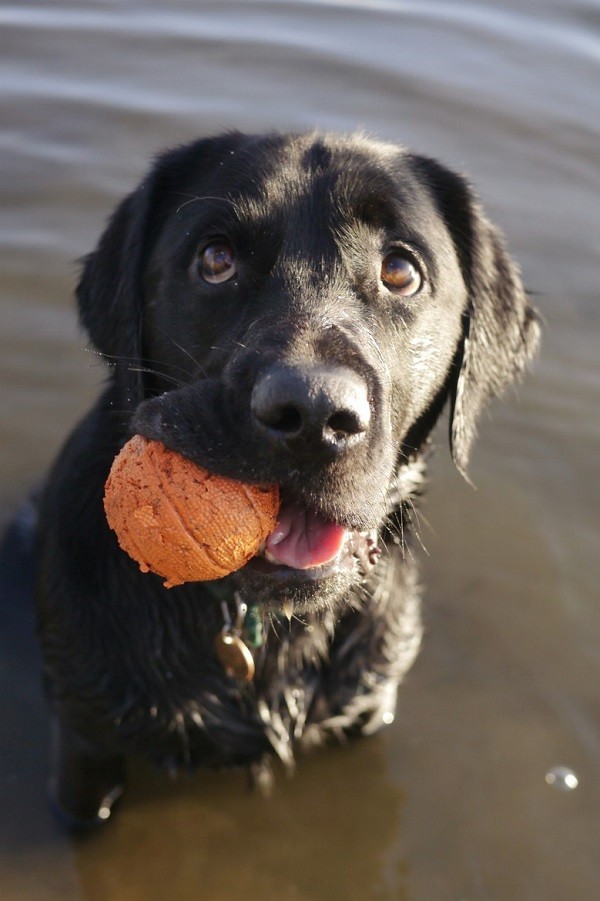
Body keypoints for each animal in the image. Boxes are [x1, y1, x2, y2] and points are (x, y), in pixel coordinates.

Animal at [34, 130, 540, 828]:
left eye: (401, 271)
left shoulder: (368, 705)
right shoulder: (85, 738)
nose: (313, 413)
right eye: (215, 259)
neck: (268, 637)